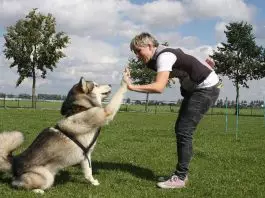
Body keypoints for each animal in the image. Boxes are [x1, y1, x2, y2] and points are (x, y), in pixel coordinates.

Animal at [0, 76, 128, 193]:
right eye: (96, 85)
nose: (110, 84)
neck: (82, 108)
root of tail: (15, 163)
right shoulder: (106, 112)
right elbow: (117, 97)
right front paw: (125, 81)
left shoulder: (85, 155)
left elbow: (88, 172)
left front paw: (93, 182)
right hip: (46, 177)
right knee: (18, 185)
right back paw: (38, 191)